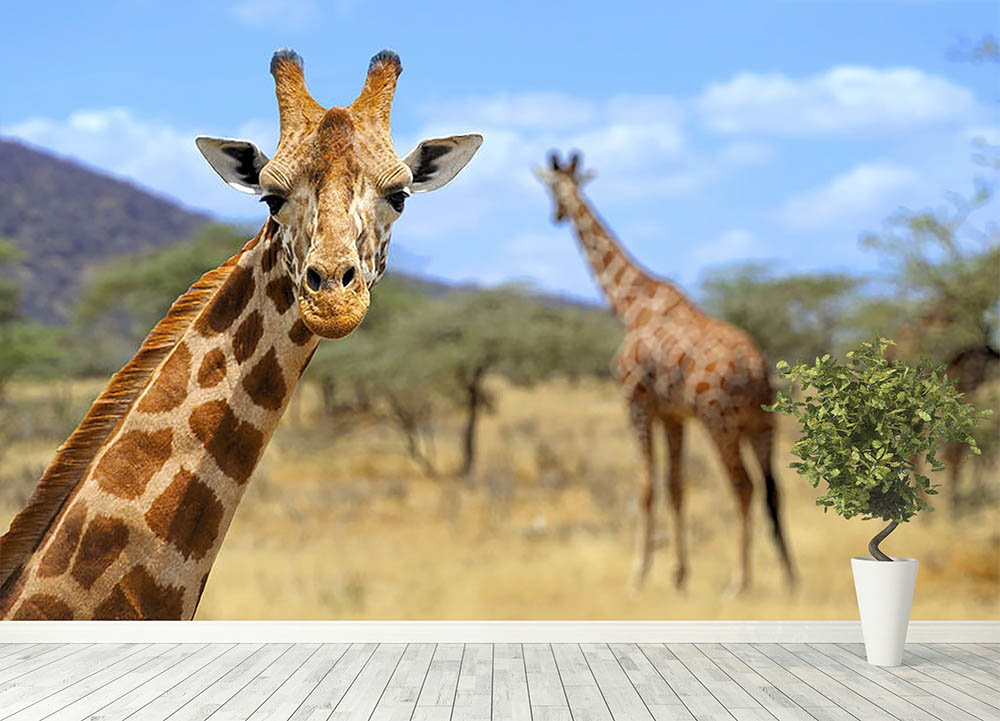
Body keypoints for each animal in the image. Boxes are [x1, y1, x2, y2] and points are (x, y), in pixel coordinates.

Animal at [535, 152, 796, 592]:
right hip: (763, 424)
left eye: (551, 187)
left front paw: (638, 574)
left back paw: (739, 581)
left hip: (719, 421)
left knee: (743, 487)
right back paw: (790, 578)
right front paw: (678, 574)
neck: (630, 305)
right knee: (773, 490)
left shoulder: (636, 402)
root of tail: (757, 370)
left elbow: (645, 486)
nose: (554, 215)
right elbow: (676, 487)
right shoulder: (673, 415)